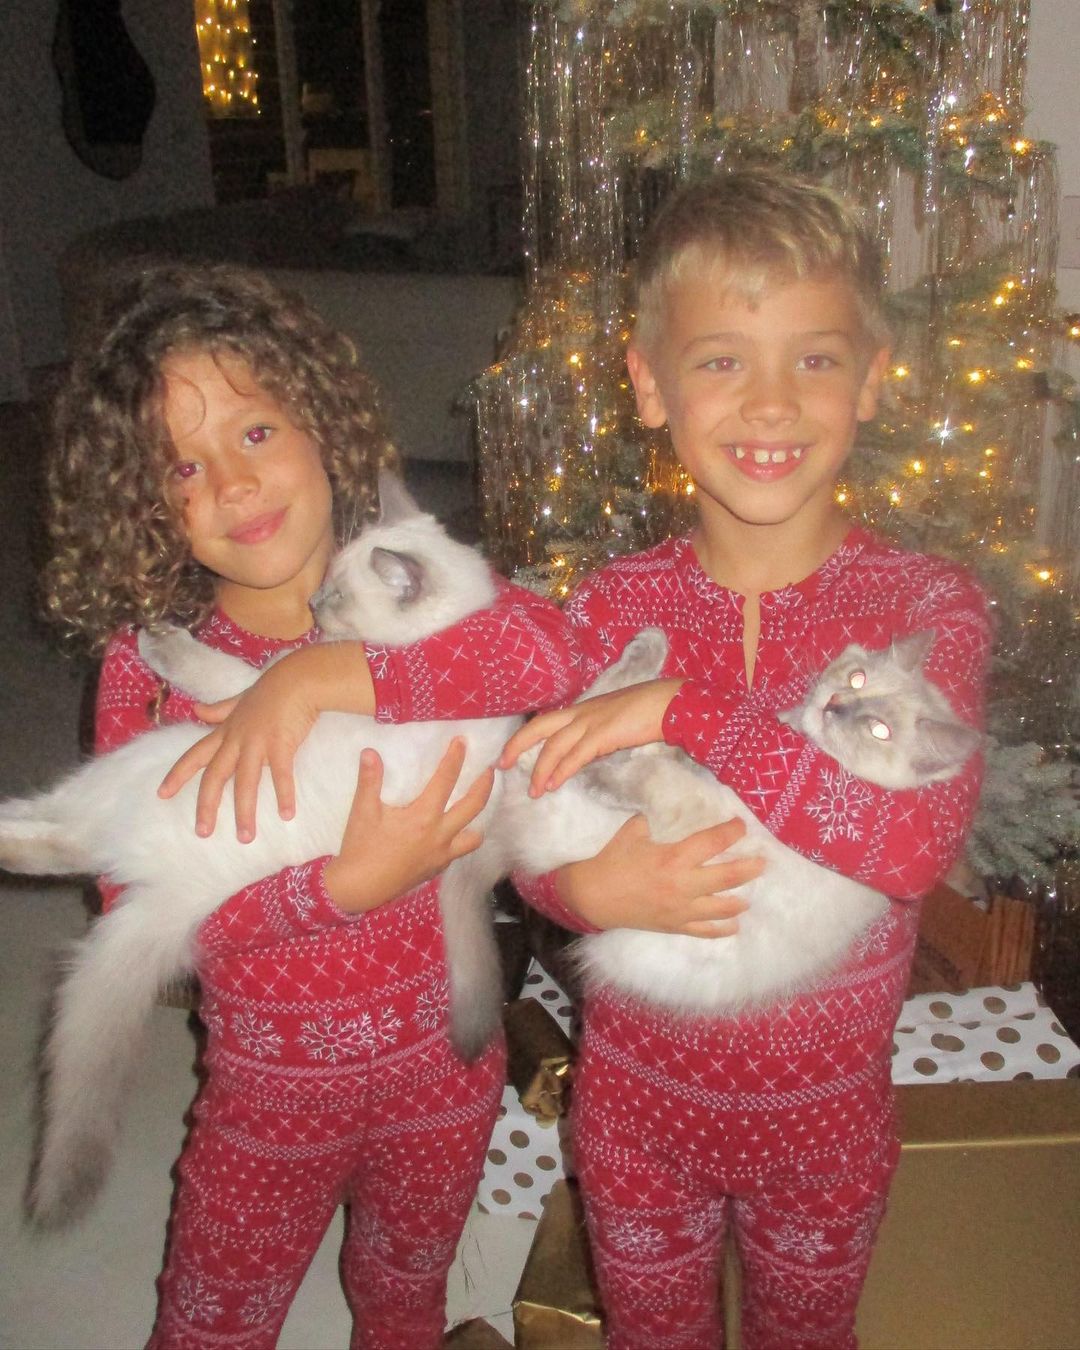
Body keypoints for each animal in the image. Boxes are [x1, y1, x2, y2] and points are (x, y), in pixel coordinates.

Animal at [501, 626, 981, 1016]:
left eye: (878, 730)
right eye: (856, 679)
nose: (835, 705)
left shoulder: (692, 804)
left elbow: (634, 766)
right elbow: (657, 744)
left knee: (562, 753)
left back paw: (542, 755)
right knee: (575, 720)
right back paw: (646, 649)